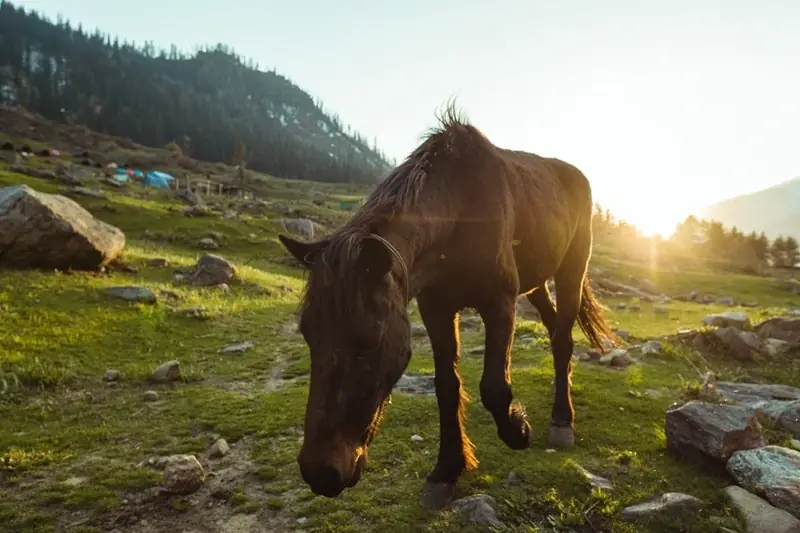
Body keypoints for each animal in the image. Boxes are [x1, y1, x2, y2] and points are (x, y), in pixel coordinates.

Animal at [278, 104, 614, 508]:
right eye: (308, 333)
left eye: (370, 340)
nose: (320, 473)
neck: (459, 213)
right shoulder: (436, 309)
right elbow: (446, 387)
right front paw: (446, 471)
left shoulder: (499, 302)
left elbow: (494, 388)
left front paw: (519, 428)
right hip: (536, 283)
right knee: (554, 331)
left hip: (570, 272)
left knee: (563, 339)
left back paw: (562, 421)